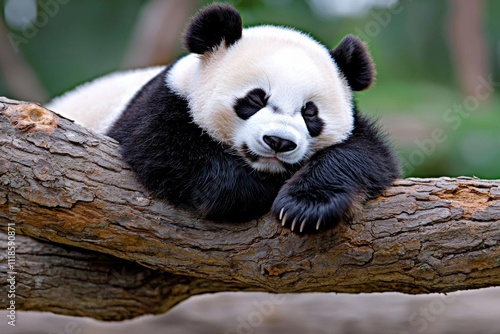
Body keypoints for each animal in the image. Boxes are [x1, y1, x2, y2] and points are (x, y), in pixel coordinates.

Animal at [48, 3, 400, 232]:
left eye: (309, 113)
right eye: (256, 98)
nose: (278, 141)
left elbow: (367, 155)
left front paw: (305, 207)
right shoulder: (161, 102)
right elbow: (163, 147)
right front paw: (260, 190)